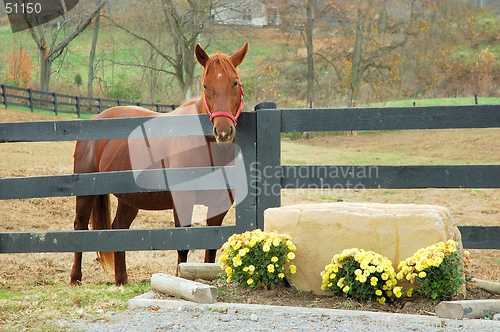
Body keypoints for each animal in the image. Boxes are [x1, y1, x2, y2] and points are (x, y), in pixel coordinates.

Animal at [69, 42, 249, 286]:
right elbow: (183, 246)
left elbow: (210, 248)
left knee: (119, 228)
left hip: (130, 199)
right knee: (80, 226)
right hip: (86, 194)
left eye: (235, 82)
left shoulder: (218, 207)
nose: (223, 131)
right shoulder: (182, 202)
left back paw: (121, 279)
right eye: (206, 86)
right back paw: (75, 277)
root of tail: (96, 120)